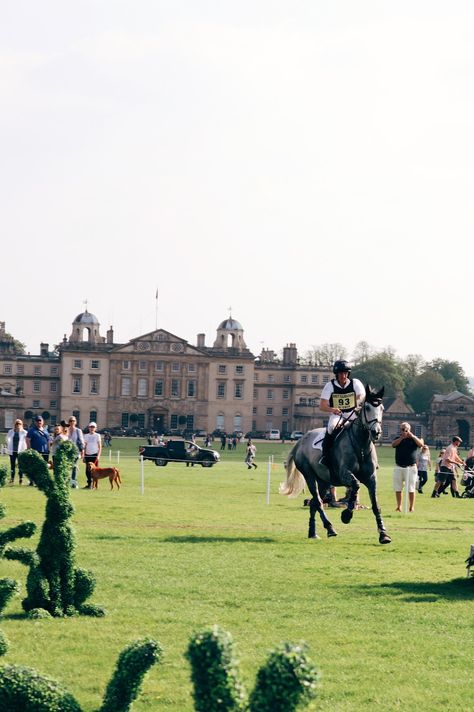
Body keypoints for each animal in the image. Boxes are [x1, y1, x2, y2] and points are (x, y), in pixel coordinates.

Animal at [280, 384, 390, 544]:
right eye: (367, 407)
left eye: (381, 408)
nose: (376, 432)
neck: (361, 446)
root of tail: (301, 440)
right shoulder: (344, 474)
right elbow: (355, 486)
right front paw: (347, 515)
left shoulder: (371, 478)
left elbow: (375, 505)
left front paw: (383, 534)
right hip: (310, 477)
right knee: (318, 502)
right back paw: (330, 528)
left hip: (324, 481)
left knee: (314, 503)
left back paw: (313, 532)